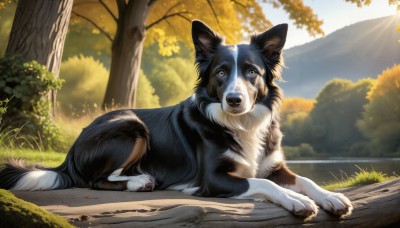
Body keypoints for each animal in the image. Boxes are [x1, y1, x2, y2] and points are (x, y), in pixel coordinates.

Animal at [0, 20, 350, 220]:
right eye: (220, 72)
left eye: (252, 72)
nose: (234, 100)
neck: (240, 124)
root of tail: (71, 151)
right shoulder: (214, 179)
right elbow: (264, 183)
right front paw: (296, 201)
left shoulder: (273, 165)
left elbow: (304, 179)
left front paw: (331, 197)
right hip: (130, 125)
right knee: (94, 179)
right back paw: (139, 181)